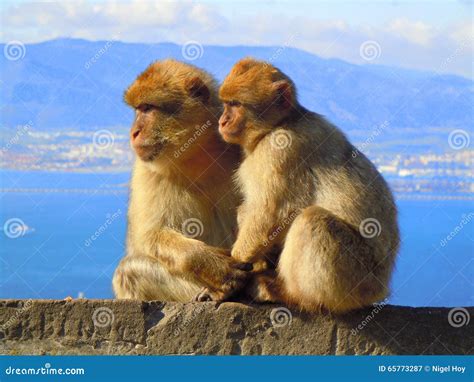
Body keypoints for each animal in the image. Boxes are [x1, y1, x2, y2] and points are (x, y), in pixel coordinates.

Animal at [113, 59, 252, 302]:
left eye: (147, 108)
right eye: (138, 109)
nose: (134, 132)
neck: (193, 155)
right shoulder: (145, 172)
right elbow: (149, 235)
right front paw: (213, 265)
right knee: (128, 272)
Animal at [215, 57, 400, 314]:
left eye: (235, 104)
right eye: (225, 104)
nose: (222, 121)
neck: (281, 123)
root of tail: (382, 286)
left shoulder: (280, 150)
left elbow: (271, 213)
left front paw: (231, 274)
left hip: (358, 278)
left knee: (312, 220)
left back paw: (291, 294)